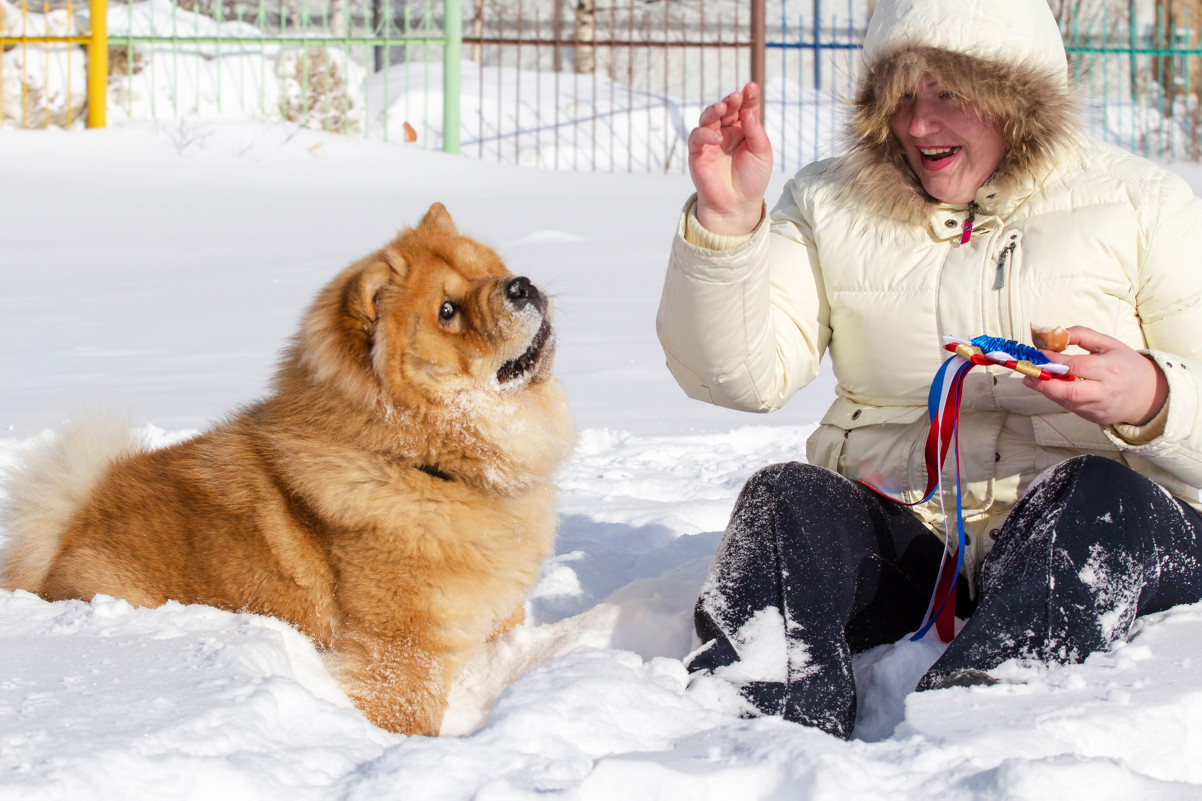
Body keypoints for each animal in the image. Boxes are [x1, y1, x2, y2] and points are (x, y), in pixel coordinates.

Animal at [0, 203, 576, 731]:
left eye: (492, 269)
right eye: (448, 310)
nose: (521, 285)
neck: (422, 463)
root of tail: (66, 530)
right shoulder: (402, 648)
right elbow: (406, 711)